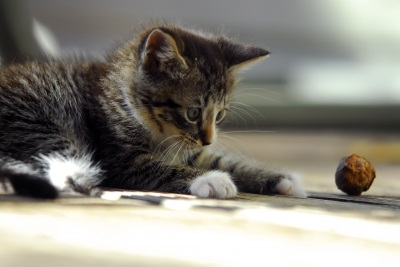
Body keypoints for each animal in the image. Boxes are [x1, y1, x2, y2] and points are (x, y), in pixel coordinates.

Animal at [0, 22, 306, 199]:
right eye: (193, 113)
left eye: (219, 115)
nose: (208, 139)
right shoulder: (118, 157)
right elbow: (159, 167)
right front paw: (211, 179)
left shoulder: (191, 149)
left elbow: (220, 160)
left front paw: (280, 179)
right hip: (41, 115)